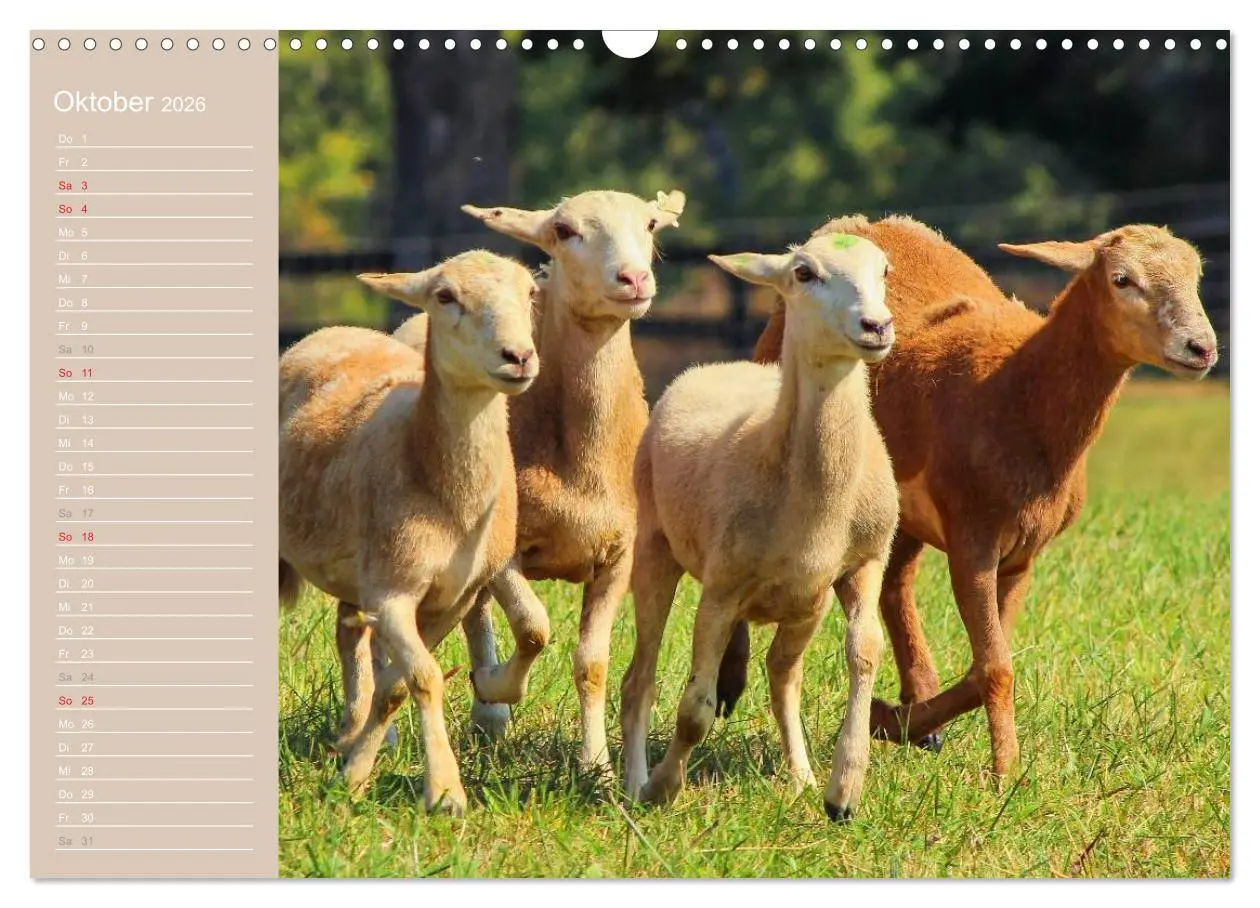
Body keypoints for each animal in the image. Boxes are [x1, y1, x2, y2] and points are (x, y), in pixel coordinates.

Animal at [278, 249, 550, 815]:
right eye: (445, 297)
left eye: (531, 293)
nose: (517, 356)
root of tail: (330, 330)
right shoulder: (394, 591)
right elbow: (423, 677)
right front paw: (445, 790)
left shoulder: (452, 598)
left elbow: (397, 685)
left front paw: (353, 774)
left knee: (348, 632)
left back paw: (351, 732)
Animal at [454, 188, 687, 773]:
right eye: (563, 231)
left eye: (650, 225)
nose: (633, 278)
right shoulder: (504, 552)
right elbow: (534, 626)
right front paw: (498, 686)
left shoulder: (619, 556)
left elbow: (592, 663)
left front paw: (597, 767)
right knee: (475, 616)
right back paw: (489, 706)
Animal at [620, 233, 900, 821]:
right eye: (803, 273)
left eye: (884, 270)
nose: (876, 326)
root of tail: (721, 363)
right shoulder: (721, 590)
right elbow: (695, 709)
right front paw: (663, 788)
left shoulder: (865, 562)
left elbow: (865, 653)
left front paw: (844, 788)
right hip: (655, 547)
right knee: (640, 680)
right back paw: (634, 784)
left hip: (807, 602)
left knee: (782, 677)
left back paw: (801, 777)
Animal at [722, 216, 1218, 781]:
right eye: (1122, 280)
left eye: (1196, 276)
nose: (1201, 347)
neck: (1020, 396)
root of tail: (862, 222)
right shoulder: (971, 537)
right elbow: (995, 667)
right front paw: (1006, 773)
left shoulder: (1023, 553)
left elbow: (985, 666)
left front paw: (893, 721)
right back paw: (732, 678)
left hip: (903, 513)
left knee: (895, 585)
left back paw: (918, 703)